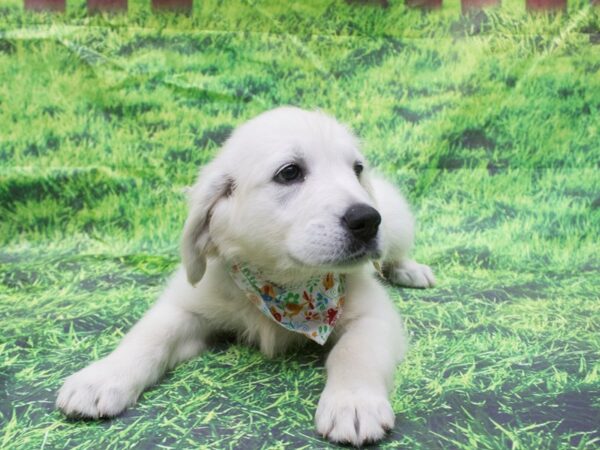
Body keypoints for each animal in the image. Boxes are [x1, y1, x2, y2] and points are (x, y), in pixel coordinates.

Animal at [56, 106, 434, 446]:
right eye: (289, 173)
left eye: (356, 169)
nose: (367, 220)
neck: (287, 284)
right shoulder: (187, 304)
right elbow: (148, 336)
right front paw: (102, 378)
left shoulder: (374, 315)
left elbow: (354, 353)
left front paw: (353, 402)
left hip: (397, 223)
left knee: (394, 255)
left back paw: (411, 270)